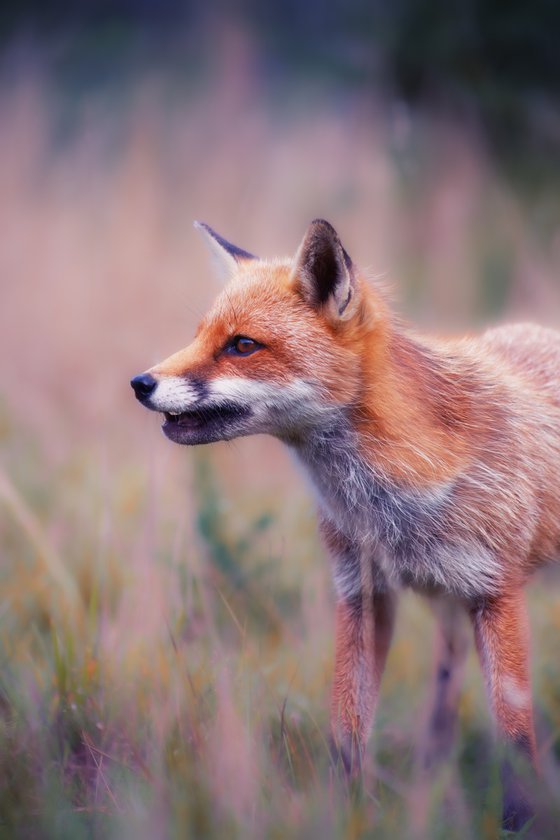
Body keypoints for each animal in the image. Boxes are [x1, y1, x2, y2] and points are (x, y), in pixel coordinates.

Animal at [132, 220, 560, 832]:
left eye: (242, 345)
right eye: (198, 336)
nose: (139, 383)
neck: (390, 500)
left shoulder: (497, 595)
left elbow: (516, 738)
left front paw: (519, 823)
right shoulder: (362, 592)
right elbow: (347, 730)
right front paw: (345, 812)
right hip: (447, 606)